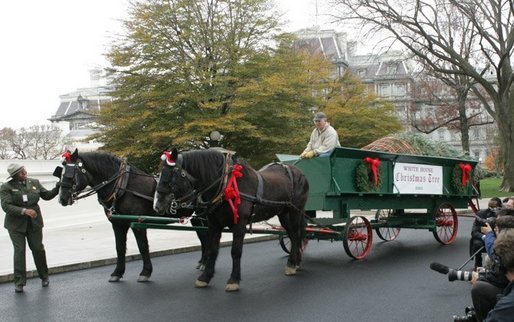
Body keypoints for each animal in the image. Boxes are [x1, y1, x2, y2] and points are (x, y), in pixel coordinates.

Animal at [57, 148, 206, 282]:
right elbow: (119, 247)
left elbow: (142, 246)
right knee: (203, 236)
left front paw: (145, 272)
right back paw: (203, 262)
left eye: (70, 174)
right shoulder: (117, 223)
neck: (122, 186)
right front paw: (117, 272)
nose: (62, 199)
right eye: (60, 173)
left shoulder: (138, 222)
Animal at [153, 149, 308, 292]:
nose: (157, 205)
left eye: (171, 175)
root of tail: (298, 171)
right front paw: (205, 277)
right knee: (293, 235)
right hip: (284, 214)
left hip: (295, 211)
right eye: (160, 173)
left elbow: (235, 251)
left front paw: (234, 279)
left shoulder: (239, 225)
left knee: (295, 235)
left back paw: (291, 264)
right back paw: (296, 261)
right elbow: (212, 250)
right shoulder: (214, 225)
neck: (226, 185)